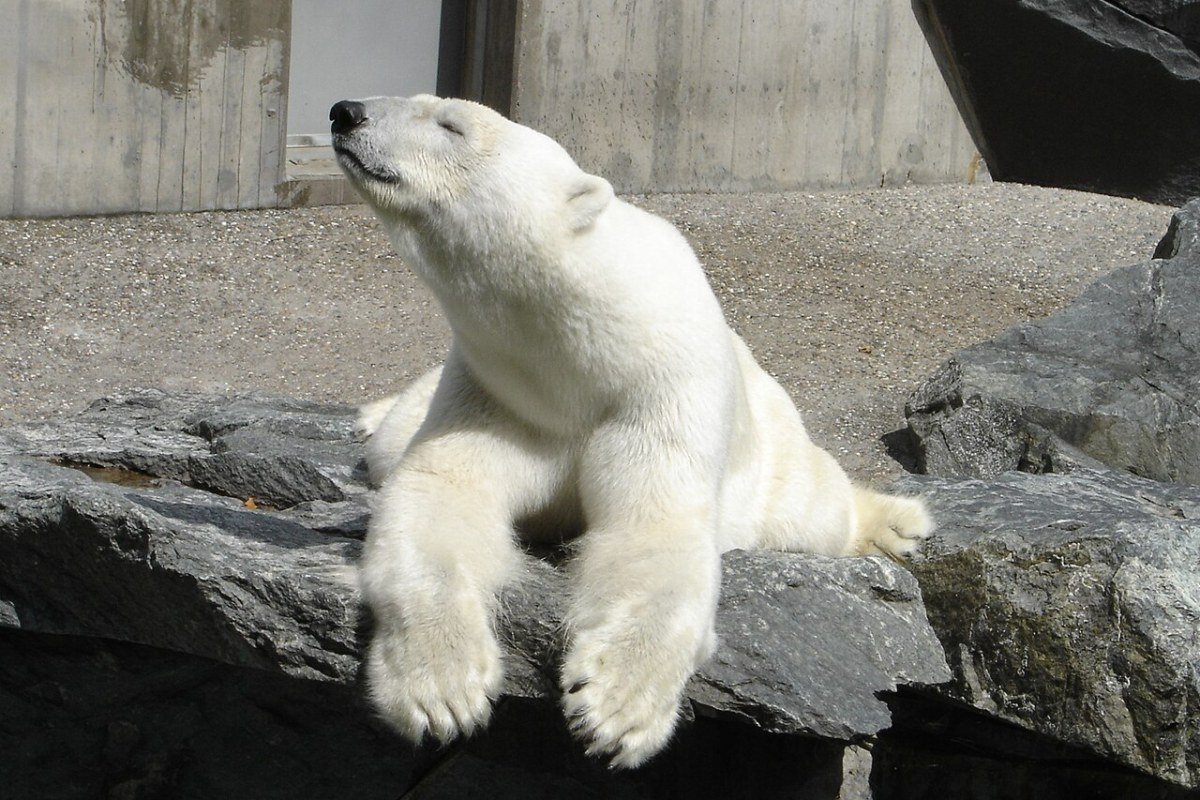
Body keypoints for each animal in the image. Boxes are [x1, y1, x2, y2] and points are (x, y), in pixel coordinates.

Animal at [330, 94, 931, 768]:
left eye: (451, 125)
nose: (345, 112)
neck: (575, 354)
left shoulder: (663, 387)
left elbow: (654, 526)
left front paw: (616, 708)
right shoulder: (496, 390)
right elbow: (440, 493)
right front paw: (442, 689)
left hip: (774, 450)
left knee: (814, 507)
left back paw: (895, 525)